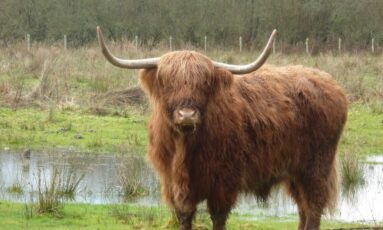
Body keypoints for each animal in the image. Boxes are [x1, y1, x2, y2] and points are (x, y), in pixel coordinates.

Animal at [97, 26, 348, 229]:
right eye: (167, 82)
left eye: (204, 83)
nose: (186, 115)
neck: (184, 149)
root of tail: (329, 82)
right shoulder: (172, 183)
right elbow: (184, 217)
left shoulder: (224, 182)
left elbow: (218, 218)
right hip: (295, 173)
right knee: (303, 209)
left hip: (317, 167)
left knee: (314, 207)